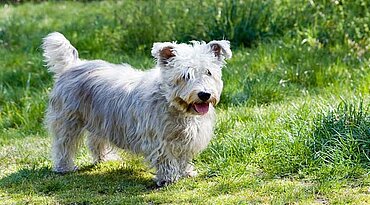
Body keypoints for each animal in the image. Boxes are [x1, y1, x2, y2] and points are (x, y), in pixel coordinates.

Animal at [41, 31, 231, 186]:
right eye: (186, 75)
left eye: (208, 72)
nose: (204, 94)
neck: (172, 103)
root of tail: (72, 65)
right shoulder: (157, 138)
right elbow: (165, 157)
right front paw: (168, 177)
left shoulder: (187, 138)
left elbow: (183, 156)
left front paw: (185, 172)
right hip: (68, 121)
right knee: (64, 145)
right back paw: (64, 167)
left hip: (100, 120)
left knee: (96, 141)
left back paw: (104, 159)